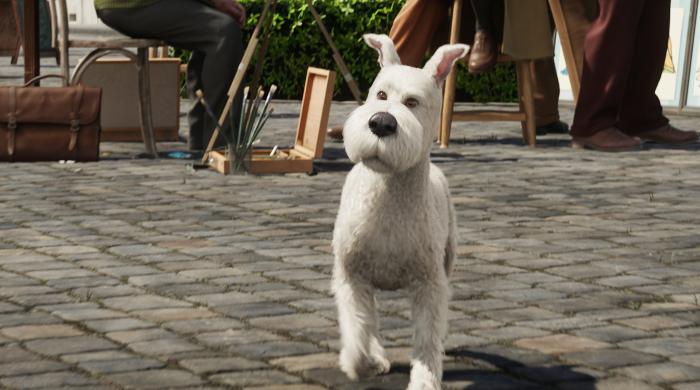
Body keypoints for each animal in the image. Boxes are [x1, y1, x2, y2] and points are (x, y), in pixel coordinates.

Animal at [330, 34, 468, 390]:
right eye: (380, 94)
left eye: (413, 102)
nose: (381, 122)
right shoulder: (351, 276)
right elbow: (358, 325)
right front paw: (360, 362)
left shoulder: (430, 284)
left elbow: (427, 337)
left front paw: (424, 380)